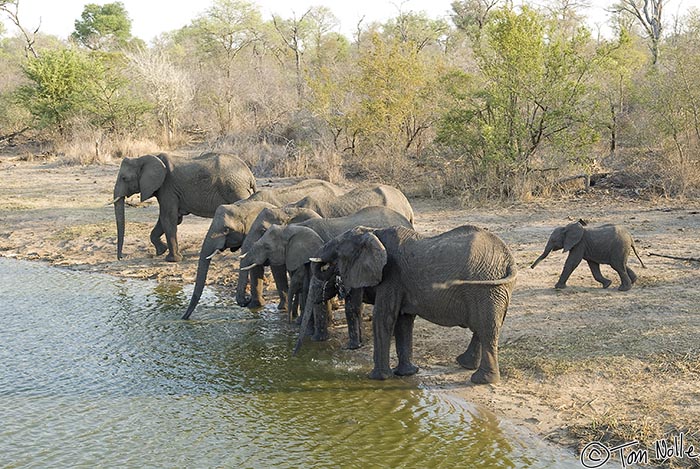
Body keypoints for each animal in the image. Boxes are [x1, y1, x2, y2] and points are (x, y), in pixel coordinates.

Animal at [113, 152, 256, 262]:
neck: (143, 158)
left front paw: (172, 260)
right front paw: (161, 251)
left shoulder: (167, 187)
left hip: (235, 188)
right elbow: (172, 219)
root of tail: (250, 174)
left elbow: (168, 218)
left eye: (124, 178)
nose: (121, 258)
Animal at [182, 178, 344, 318]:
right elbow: (255, 267)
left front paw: (281, 308)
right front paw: (255, 306)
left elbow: (276, 268)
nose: (184, 318)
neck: (246, 204)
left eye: (226, 229)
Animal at [298, 224, 516, 384]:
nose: (296, 354)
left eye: (337, 250)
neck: (373, 232)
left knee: (486, 329)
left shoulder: (391, 275)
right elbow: (403, 321)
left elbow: (384, 318)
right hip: (495, 290)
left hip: (485, 288)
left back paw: (481, 380)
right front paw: (406, 374)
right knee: (485, 327)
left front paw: (377, 378)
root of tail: (509, 260)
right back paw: (466, 365)